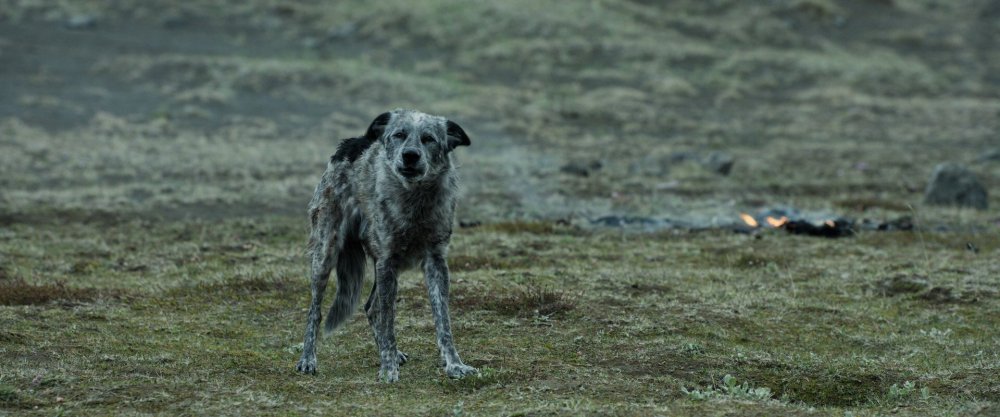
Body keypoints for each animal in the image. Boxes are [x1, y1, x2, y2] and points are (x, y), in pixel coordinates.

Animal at [294, 107, 478, 380]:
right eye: (399, 135)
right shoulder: (387, 260)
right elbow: (389, 321)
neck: (414, 199)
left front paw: (454, 365)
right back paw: (308, 359)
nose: (410, 156)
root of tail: (351, 143)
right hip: (326, 254)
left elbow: (443, 321)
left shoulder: (435, 262)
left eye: (429, 139)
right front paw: (388, 369)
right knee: (315, 311)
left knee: (371, 307)